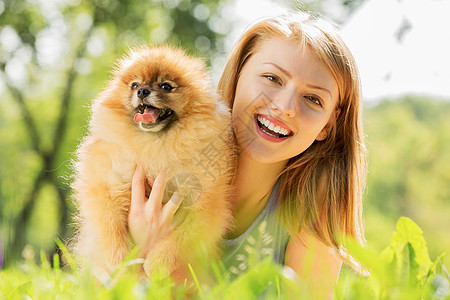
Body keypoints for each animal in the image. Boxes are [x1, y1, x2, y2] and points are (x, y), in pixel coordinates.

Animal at [72, 45, 234, 278]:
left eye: (166, 86)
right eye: (134, 85)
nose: (142, 91)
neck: (154, 145)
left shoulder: (207, 205)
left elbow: (184, 237)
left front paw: (158, 262)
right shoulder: (106, 185)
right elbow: (109, 223)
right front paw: (120, 259)